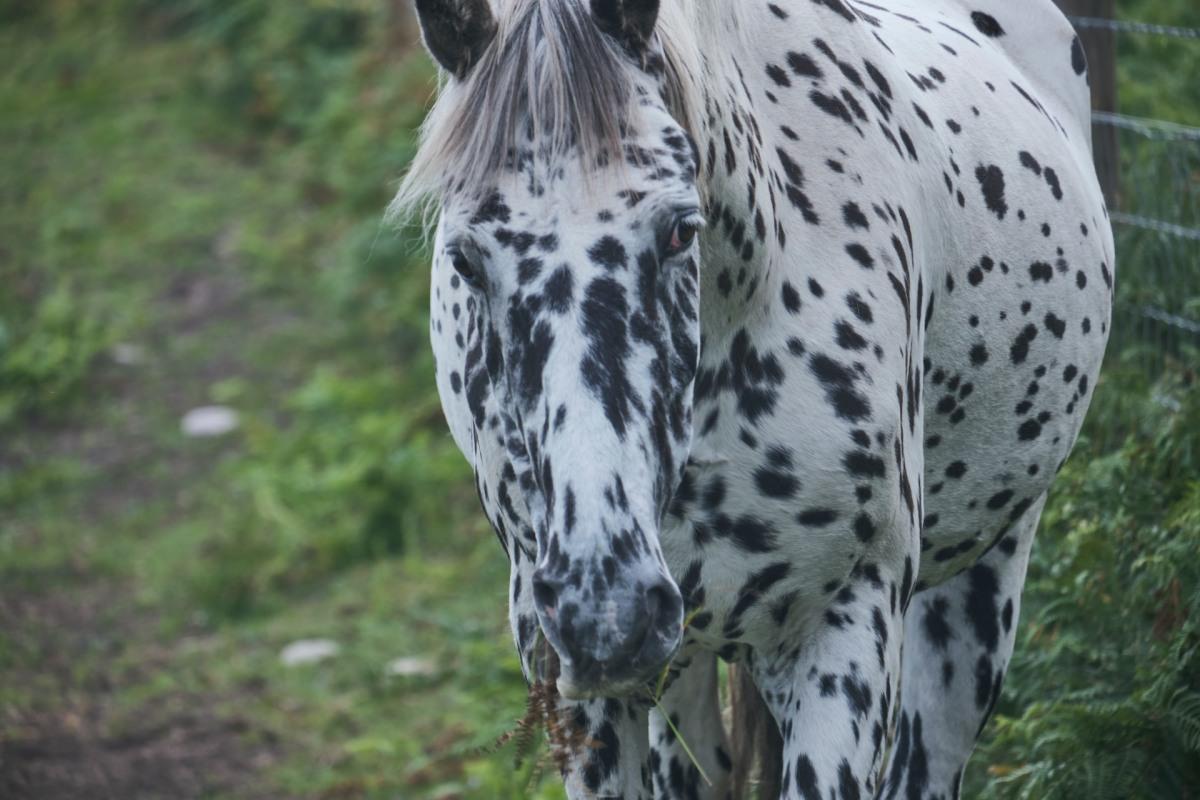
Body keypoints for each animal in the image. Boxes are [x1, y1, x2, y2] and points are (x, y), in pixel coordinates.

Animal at [393, 1, 1113, 796]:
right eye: (464, 259)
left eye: (681, 228)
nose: (605, 612)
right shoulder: (580, 687)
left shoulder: (844, 632)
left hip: (979, 590)